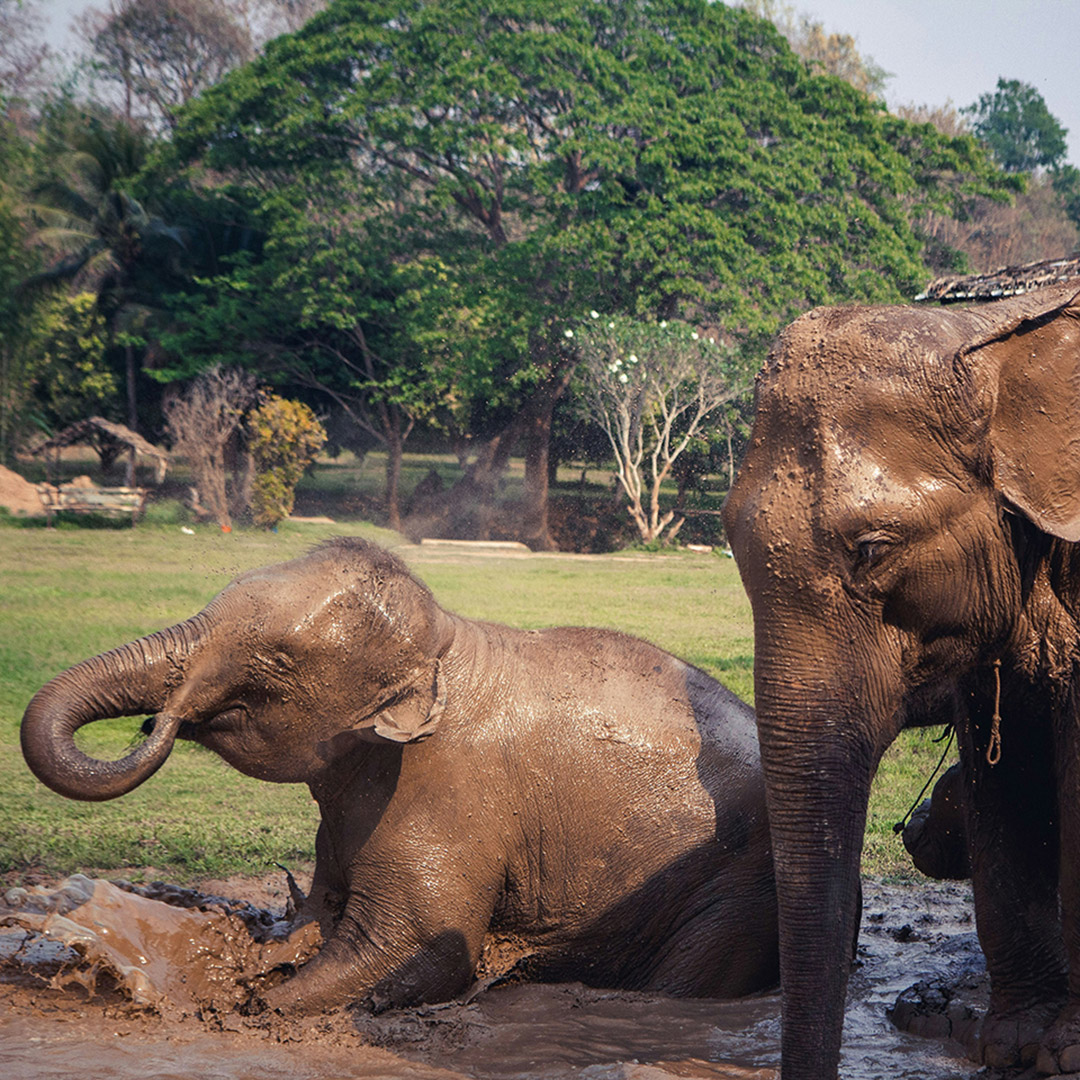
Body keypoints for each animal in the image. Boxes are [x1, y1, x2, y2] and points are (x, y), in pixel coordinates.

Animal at [21, 536, 781, 1013]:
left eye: (276, 662)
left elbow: (416, 946)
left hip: (736, 888)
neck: (444, 644)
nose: (158, 721)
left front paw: (242, 1003)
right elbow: (323, 915)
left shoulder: (446, 796)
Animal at [722, 281, 1080, 1078]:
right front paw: (1015, 1042)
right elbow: (1001, 775)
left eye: (873, 549)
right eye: (726, 535)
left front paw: (1066, 1051)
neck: (992, 338)